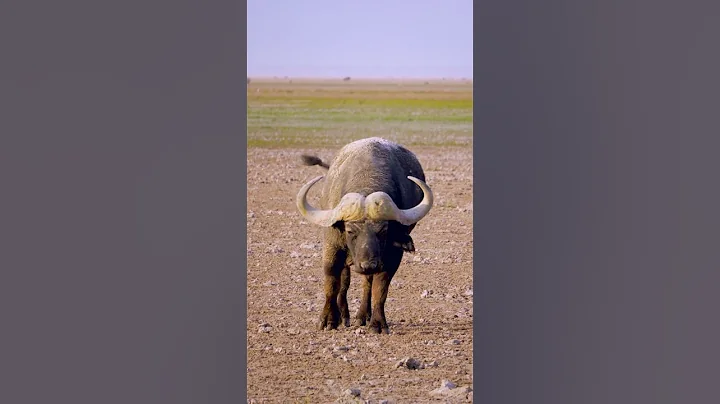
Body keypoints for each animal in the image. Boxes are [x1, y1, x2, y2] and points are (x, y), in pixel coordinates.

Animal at [297, 137, 434, 334]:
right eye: (350, 231)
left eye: (383, 231)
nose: (368, 264)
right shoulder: (332, 246)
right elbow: (331, 283)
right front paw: (328, 319)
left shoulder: (392, 256)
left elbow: (380, 288)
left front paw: (378, 324)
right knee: (345, 280)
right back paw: (344, 314)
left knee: (367, 282)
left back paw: (363, 315)